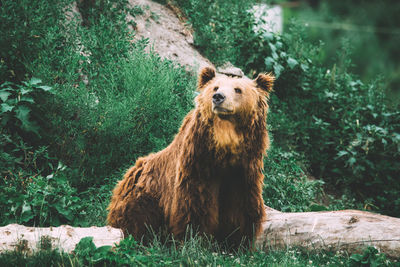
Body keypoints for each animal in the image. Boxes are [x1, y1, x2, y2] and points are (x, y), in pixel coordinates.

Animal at [106, 67, 276, 249]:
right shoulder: (198, 162)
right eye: (215, 87)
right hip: (144, 196)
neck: (224, 147)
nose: (218, 97)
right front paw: (194, 240)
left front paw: (236, 242)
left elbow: (241, 207)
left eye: (238, 89)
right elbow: (195, 204)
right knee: (136, 218)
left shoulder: (243, 169)